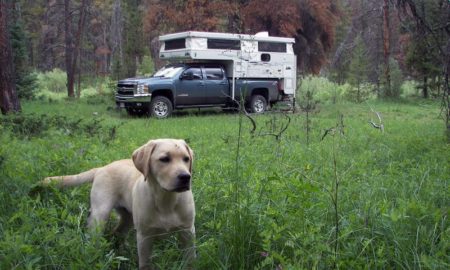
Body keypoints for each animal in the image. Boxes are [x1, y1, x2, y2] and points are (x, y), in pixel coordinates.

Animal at [43, 138, 194, 268]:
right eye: (164, 159)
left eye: (186, 159)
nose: (185, 177)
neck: (166, 199)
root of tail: (101, 168)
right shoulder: (144, 236)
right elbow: (145, 263)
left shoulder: (188, 231)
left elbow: (190, 258)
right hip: (100, 215)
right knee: (94, 239)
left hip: (128, 218)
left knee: (117, 233)